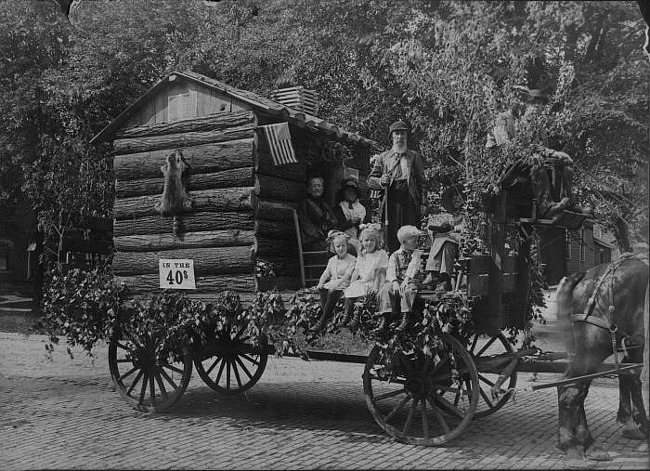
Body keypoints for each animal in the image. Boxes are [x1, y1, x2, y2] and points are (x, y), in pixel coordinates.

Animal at [552, 253, 648, 462]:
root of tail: (587, 276)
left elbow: (630, 377)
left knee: (580, 389)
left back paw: (586, 442)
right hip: (594, 350)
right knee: (571, 388)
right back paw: (570, 443)